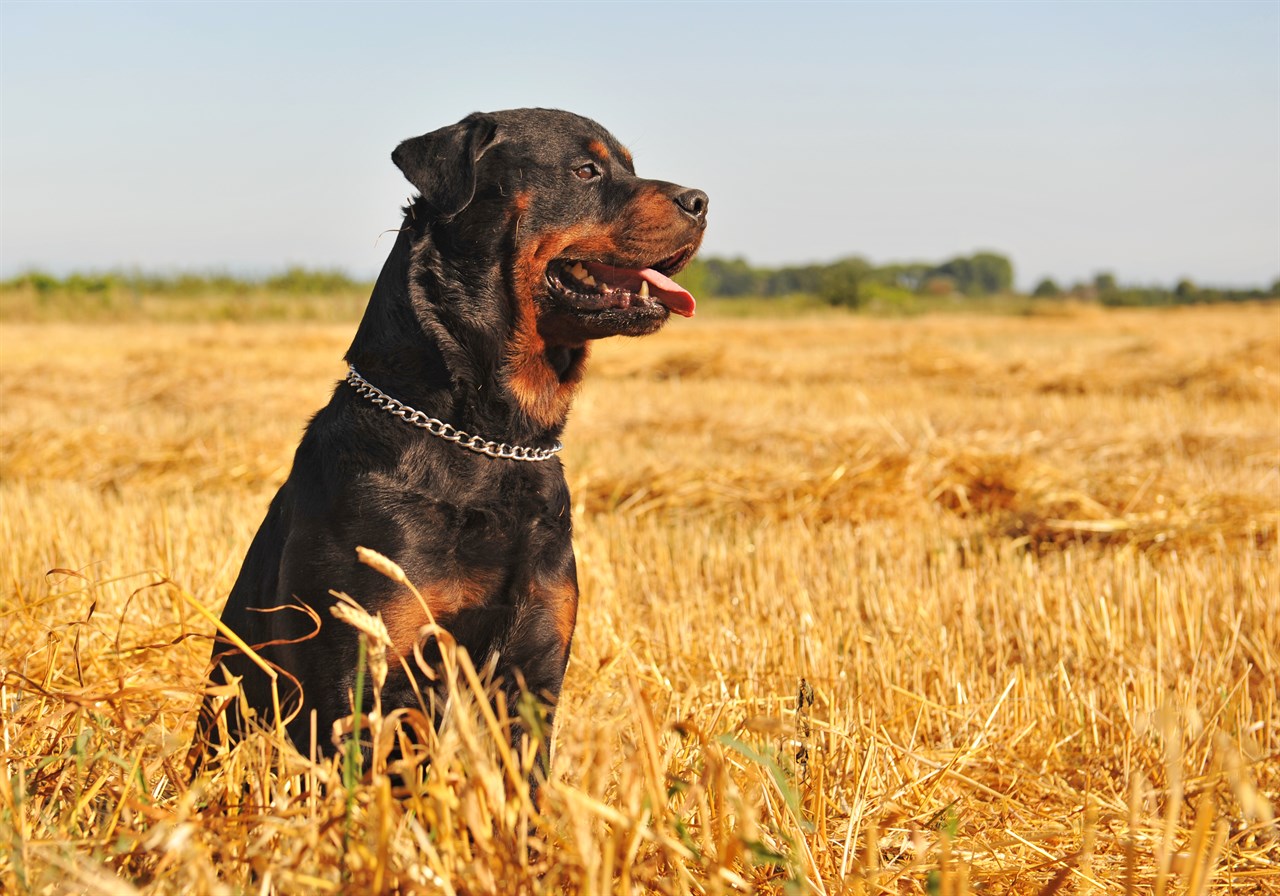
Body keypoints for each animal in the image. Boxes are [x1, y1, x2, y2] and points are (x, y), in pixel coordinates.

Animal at [194, 106, 706, 778]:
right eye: (585, 170)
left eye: (630, 166)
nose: (700, 200)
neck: (492, 440)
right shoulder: (363, 672)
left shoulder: (534, 671)